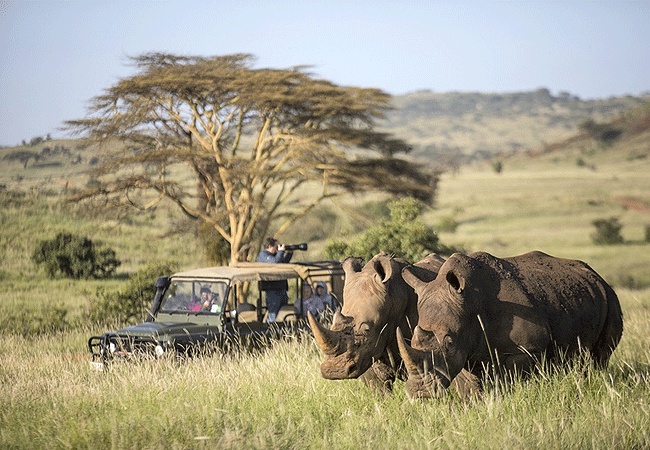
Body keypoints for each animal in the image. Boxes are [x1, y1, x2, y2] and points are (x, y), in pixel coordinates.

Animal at [394, 251, 624, 400]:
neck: (470, 304)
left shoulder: (526, 349)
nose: (419, 393)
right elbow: (468, 387)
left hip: (610, 298)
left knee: (599, 356)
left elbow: (513, 380)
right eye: (412, 340)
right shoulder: (465, 350)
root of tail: (596, 275)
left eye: (449, 343)